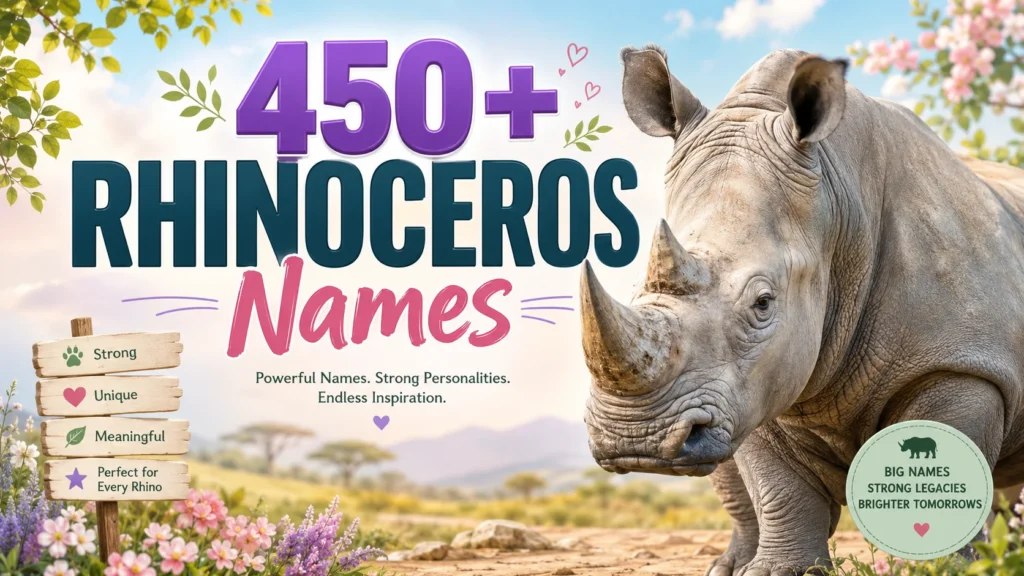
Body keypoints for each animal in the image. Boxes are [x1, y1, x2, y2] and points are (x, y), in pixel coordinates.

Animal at [579, 45, 1024, 575]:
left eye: (763, 302)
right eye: (639, 290)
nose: (634, 438)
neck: (838, 204)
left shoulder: (963, 364)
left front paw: (943, 569)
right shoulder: (749, 384)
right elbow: (777, 486)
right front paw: (778, 571)